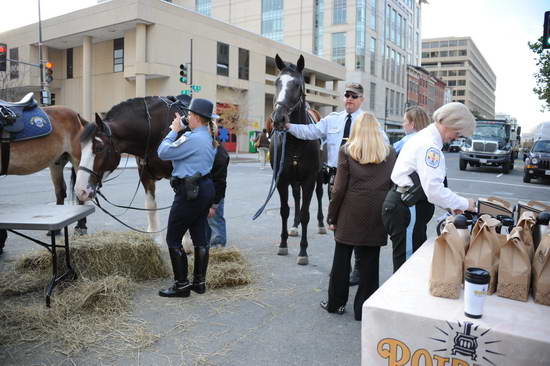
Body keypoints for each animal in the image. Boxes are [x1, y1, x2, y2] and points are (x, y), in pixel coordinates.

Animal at [0, 106, 88, 253]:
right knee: (60, 191)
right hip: (56, 162)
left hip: (76, 159)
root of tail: (77, 116)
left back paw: (81, 227)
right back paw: (57, 228)